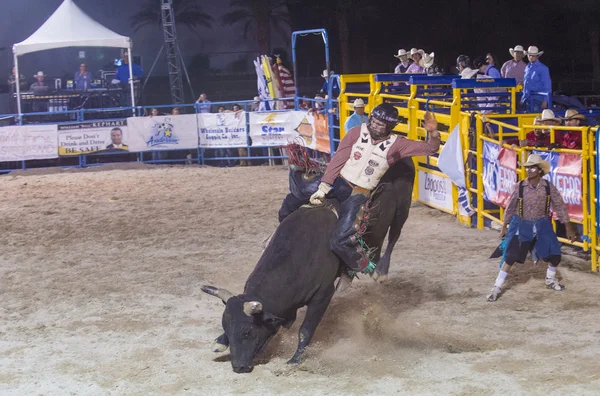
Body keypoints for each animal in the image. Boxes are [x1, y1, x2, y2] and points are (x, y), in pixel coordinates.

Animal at [204, 157, 414, 372]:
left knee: (394, 236)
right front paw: (220, 341)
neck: (295, 255)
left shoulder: (322, 295)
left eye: (247, 331)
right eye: (226, 328)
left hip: (402, 209)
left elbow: (306, 329)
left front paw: (295, 359)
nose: (238, 366)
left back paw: (381, 271)